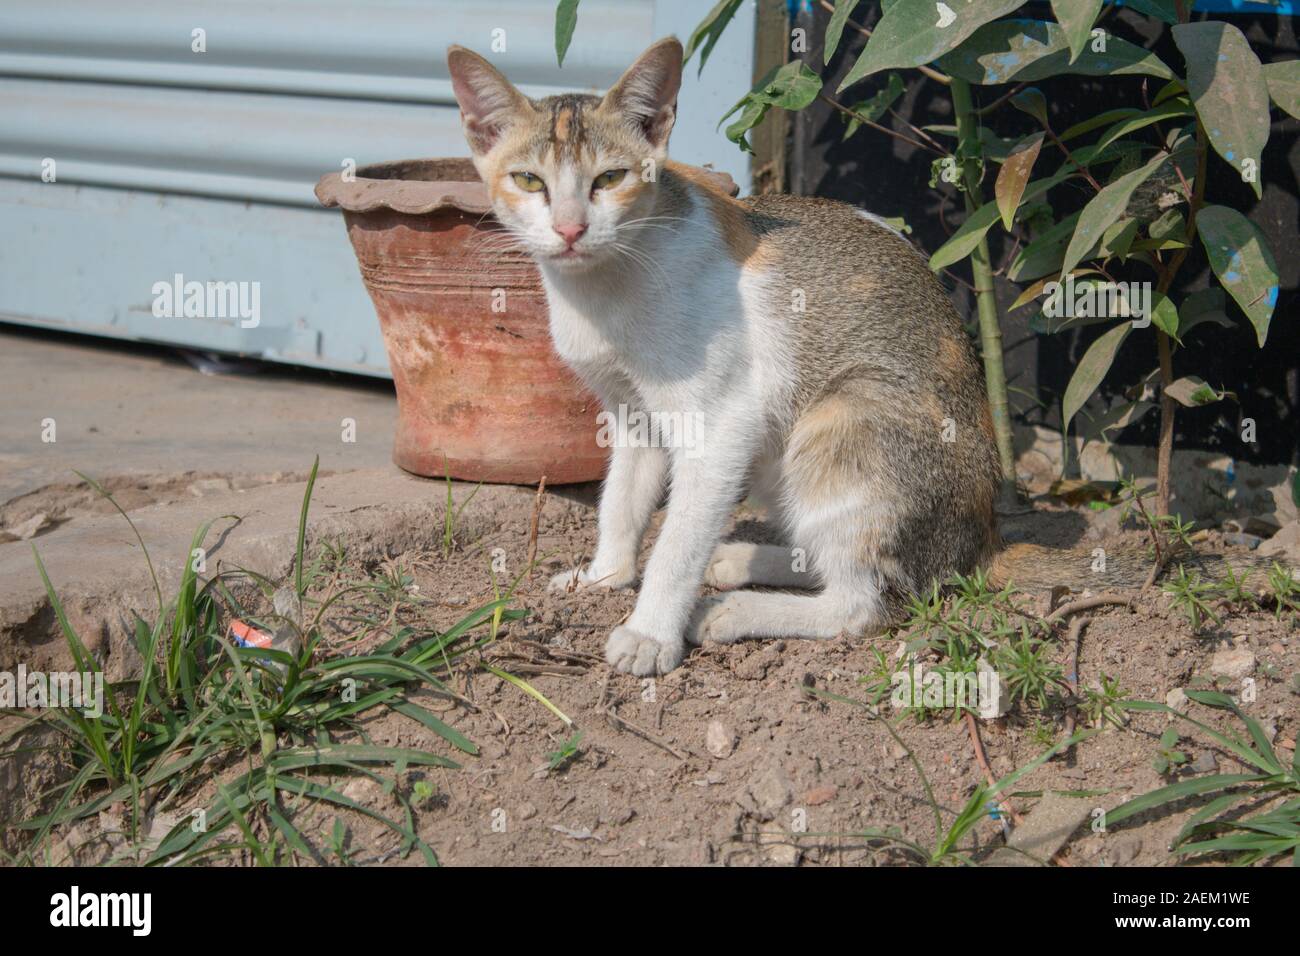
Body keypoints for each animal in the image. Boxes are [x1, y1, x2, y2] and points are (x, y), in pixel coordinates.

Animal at [444, 39, 1128, 681]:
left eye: (609, 179)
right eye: (529, 181)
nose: (569, 230)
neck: (603, 288)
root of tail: (983, 541)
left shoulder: (720, 426)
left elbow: (678, 540)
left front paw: (649, 631)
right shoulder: (632, 411)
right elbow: (621, 501)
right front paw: (605, 576)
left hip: (845, 416)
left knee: (862, 604)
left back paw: (735, 608)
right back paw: (746, 560)